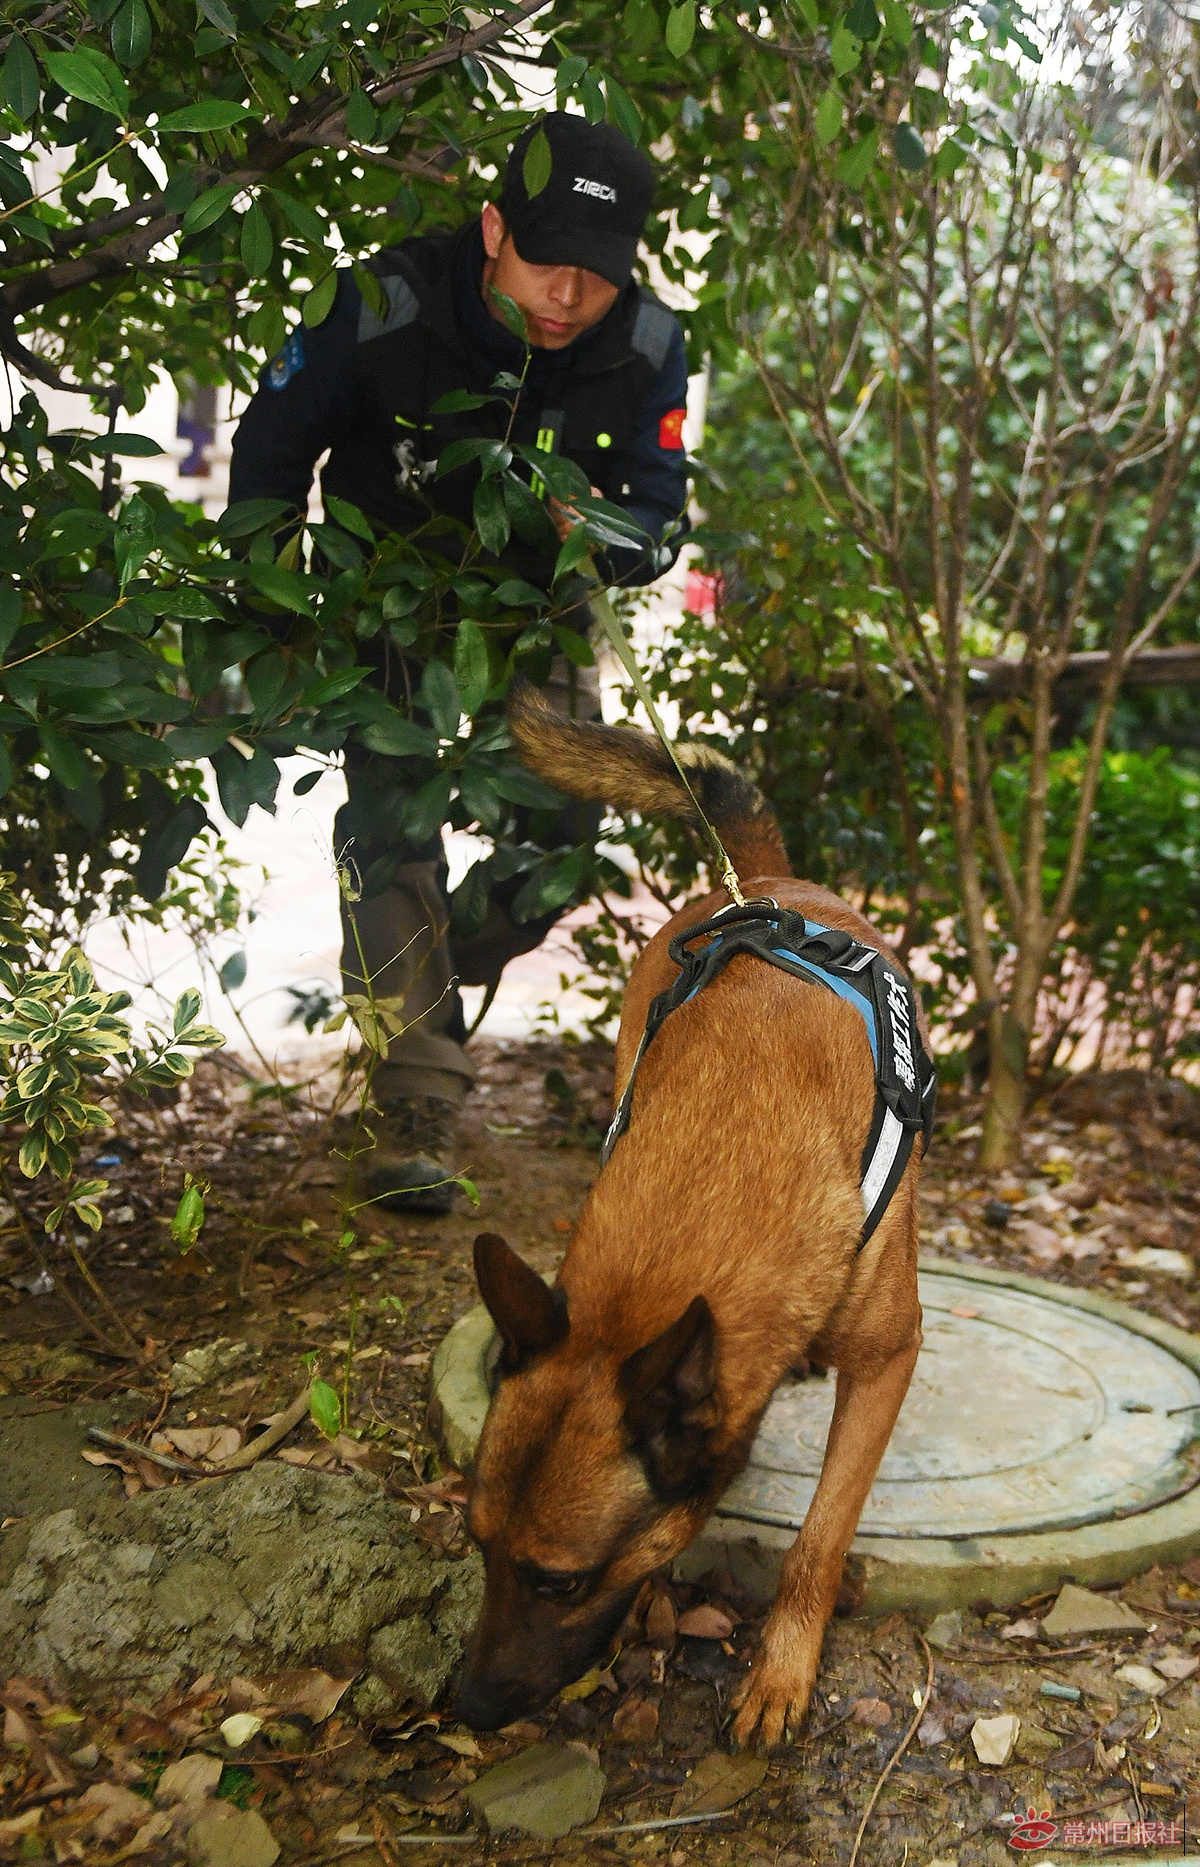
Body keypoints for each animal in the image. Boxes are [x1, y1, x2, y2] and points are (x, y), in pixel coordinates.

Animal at [455, 690, 925, 1747]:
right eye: (475, 1543)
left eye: (561, 1581)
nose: (460, 1701)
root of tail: (766, 883)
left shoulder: (887, 1361)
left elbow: (820, 1538)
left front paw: (781, 1671)